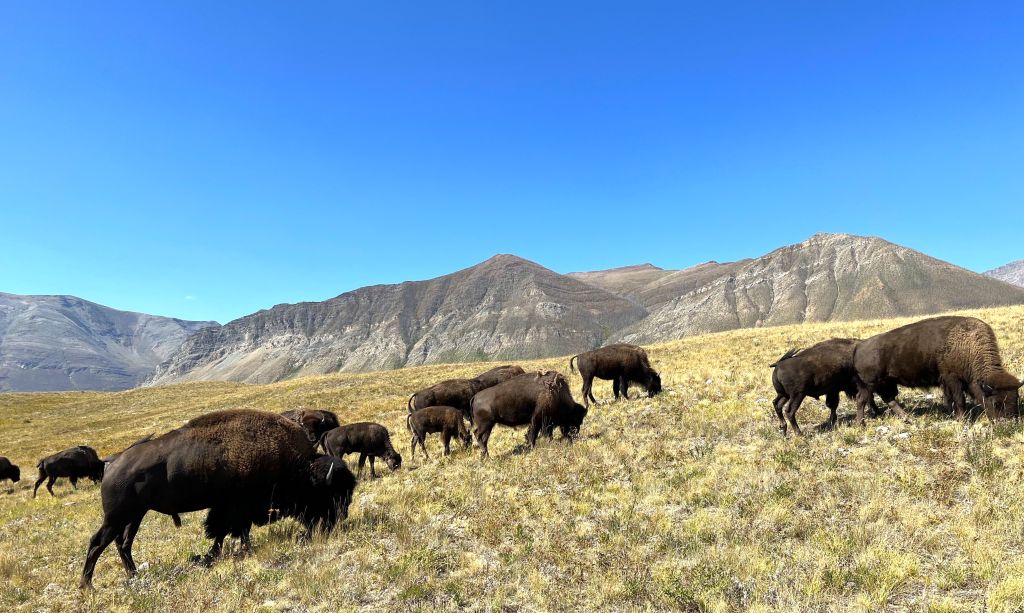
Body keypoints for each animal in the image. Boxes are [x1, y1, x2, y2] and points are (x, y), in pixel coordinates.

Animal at [79, 409, 356, 589]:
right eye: (329, 494)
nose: (338, 520)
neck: (297, 468)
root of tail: (113, 462)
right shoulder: (236, 507)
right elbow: (231, 530)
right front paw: (234, 552)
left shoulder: (228, 508)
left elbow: (224, 532)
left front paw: (216, 554)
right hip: (117, 517)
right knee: (98, 542)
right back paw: (87, 585)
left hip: (135, 515)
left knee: (123, 543)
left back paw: (133, 575)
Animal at [853, 316, 1023, 425]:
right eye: (996, 402)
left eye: (1016, 399)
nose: (1008, 424)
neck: (968, 346)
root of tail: (860, 345)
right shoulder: (953, 379)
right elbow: (959, 400)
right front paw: (962, 420)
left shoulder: (948, 382)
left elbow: (949, 400)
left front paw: (951, 415)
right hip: (870, 384)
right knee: (862, 399)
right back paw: (861, 424)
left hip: (885, 382)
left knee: (889, 399)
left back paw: (908, 419)